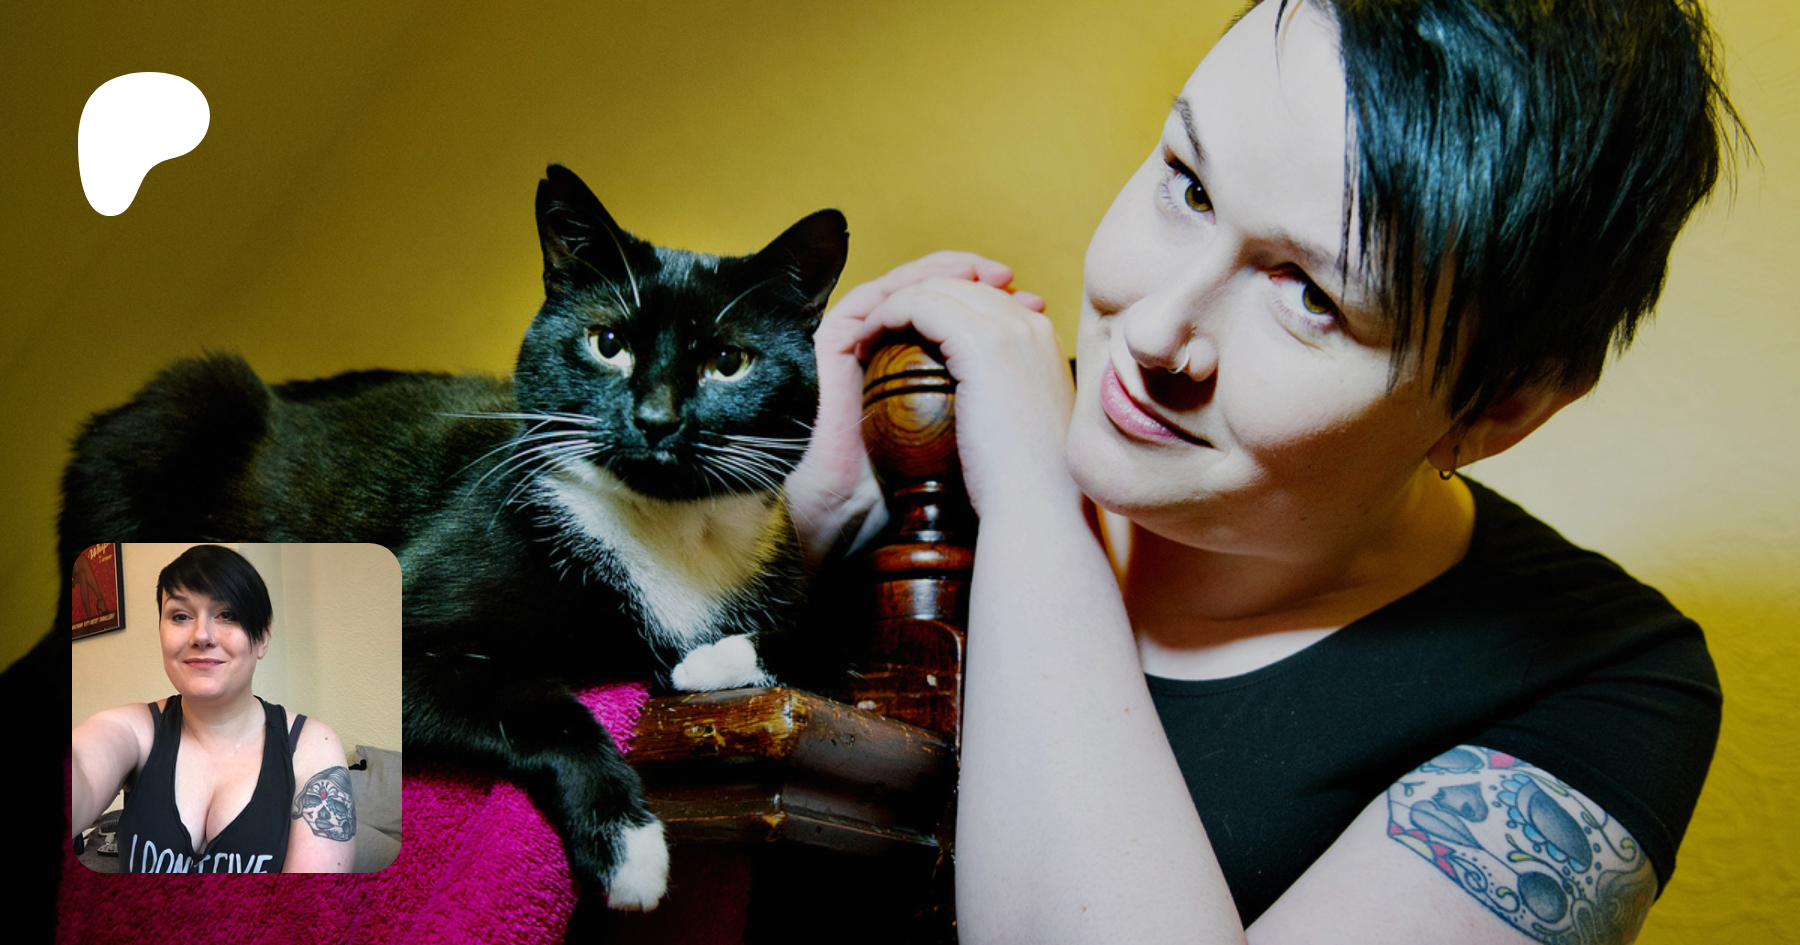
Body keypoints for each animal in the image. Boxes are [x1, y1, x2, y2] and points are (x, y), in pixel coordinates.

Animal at [58, 163, 850, 908]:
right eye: (608, 343)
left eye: (729, 362)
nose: (657, 418)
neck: (668, 533)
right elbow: (540, 705)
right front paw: (627, 843)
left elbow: (821, 641)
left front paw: (712, 661)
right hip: (184, 402)